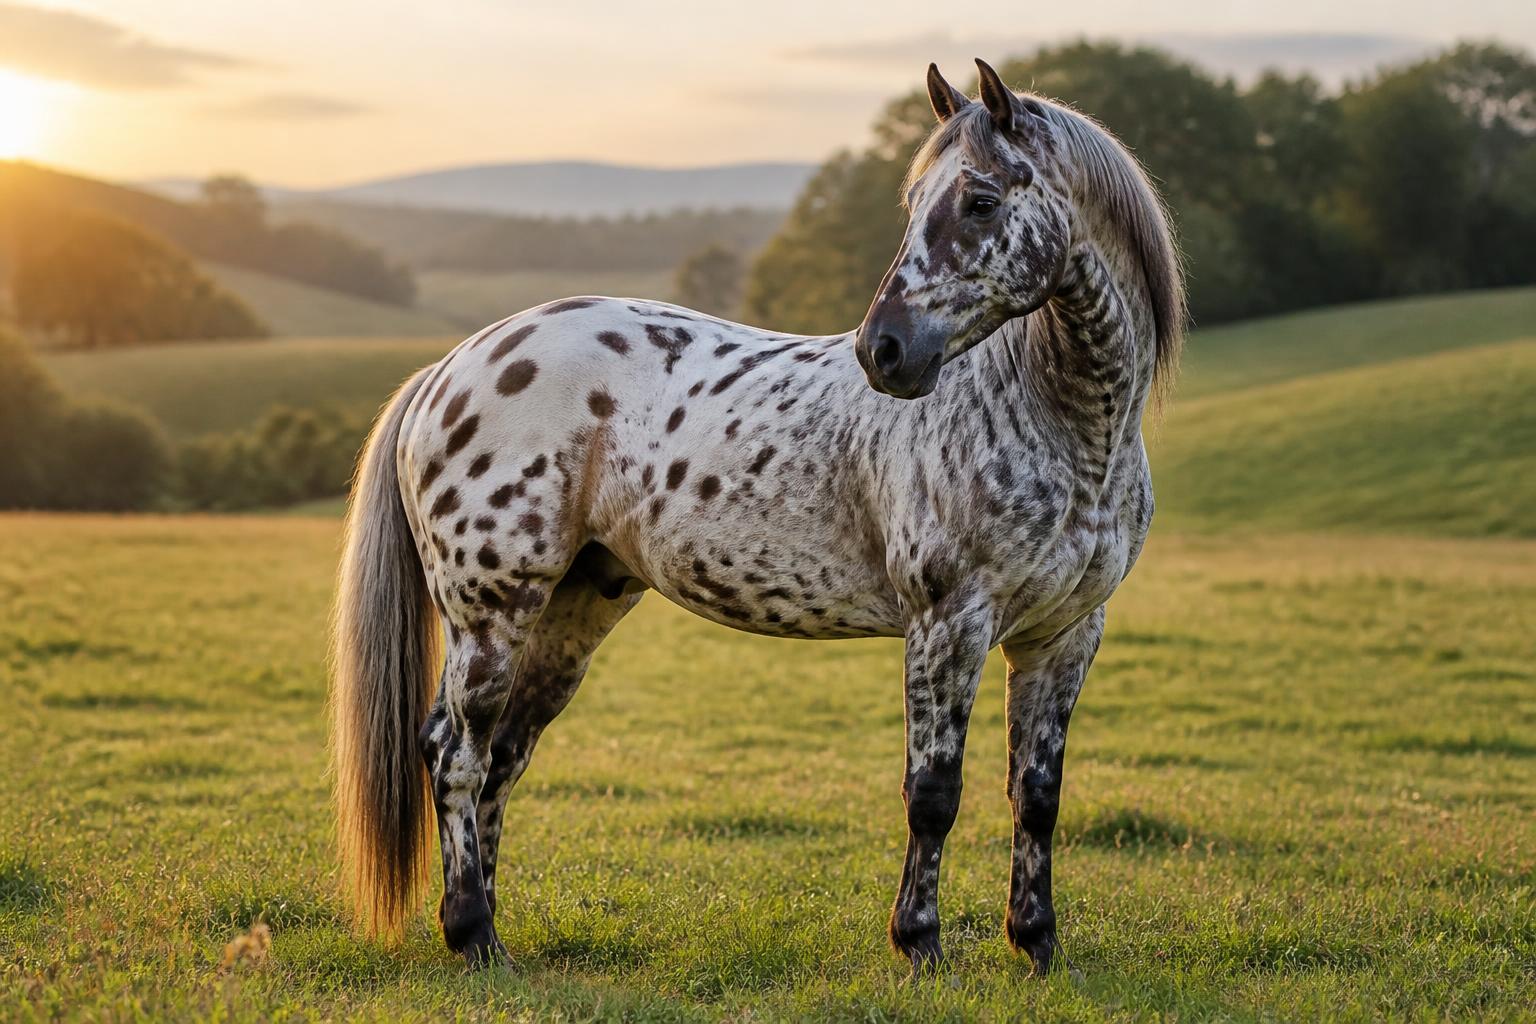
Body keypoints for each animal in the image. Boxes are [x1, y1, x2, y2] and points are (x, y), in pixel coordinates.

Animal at [330, 58, 1184, 975]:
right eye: (914, 201)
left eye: (981, 200)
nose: (883, 351)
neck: (1058, 422)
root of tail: (451, 367)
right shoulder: (949, 623)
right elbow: (933, 794)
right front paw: (920, 944)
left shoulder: (1064, 635)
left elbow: (1037, 795)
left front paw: (1037, 944)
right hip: (492, 615)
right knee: (455, 755)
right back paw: (471, 934)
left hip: (573, 609)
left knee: (501, 761)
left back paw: (490, 930)